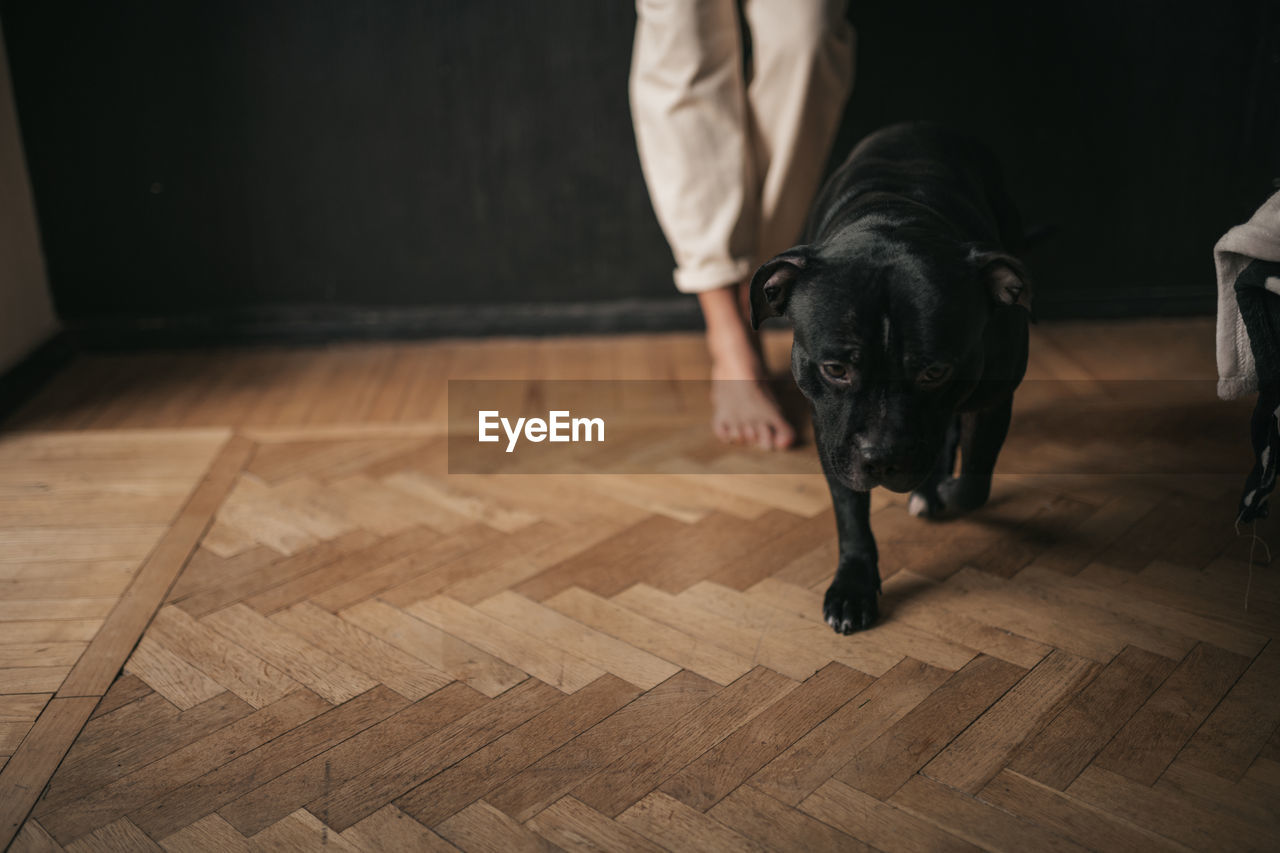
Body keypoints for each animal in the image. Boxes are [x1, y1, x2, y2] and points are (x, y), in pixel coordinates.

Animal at [747, 122, 1029, 635]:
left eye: (935, 372)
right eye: (835, 370)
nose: (880, 459)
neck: (892, 225)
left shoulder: (994, 398)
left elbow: (976, 478)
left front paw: (948, 489)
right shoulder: (833, 435)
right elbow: (850, 513)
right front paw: (853, 586)